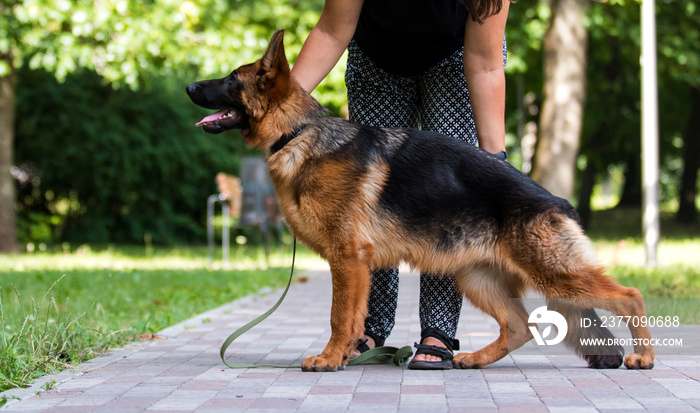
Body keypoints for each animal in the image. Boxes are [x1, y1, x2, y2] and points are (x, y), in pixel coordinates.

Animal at [187, 29, 656, 370]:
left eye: (231, 79)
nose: (190, 85)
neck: (298, 132)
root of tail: (557, 200)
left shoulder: (348, 260)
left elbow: (339, 317)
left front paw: (328, 359)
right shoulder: (358, 266)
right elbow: (354, 319)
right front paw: (344, 357)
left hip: (553, 273)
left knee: (630, 294)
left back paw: (644, 356)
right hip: (477, 278)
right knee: (520, 328)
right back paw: (474, 359)